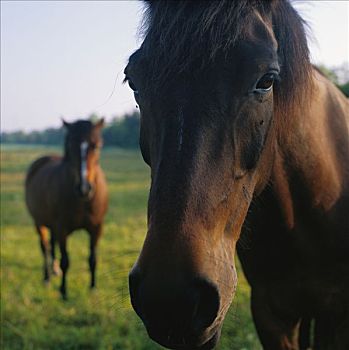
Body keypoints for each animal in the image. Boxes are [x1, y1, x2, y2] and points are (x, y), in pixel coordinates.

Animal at [25, 119, 107, 300]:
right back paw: (47, 277)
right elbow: (65, 261)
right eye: (70, 145)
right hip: (39, 223)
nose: (84, 188)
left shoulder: (96, 228)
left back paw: (54, 271)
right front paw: (63, 292)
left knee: (52, 244)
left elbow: (93, 258)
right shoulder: (62, 228)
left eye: (96, 146)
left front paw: (93, 288)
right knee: (45, 247)